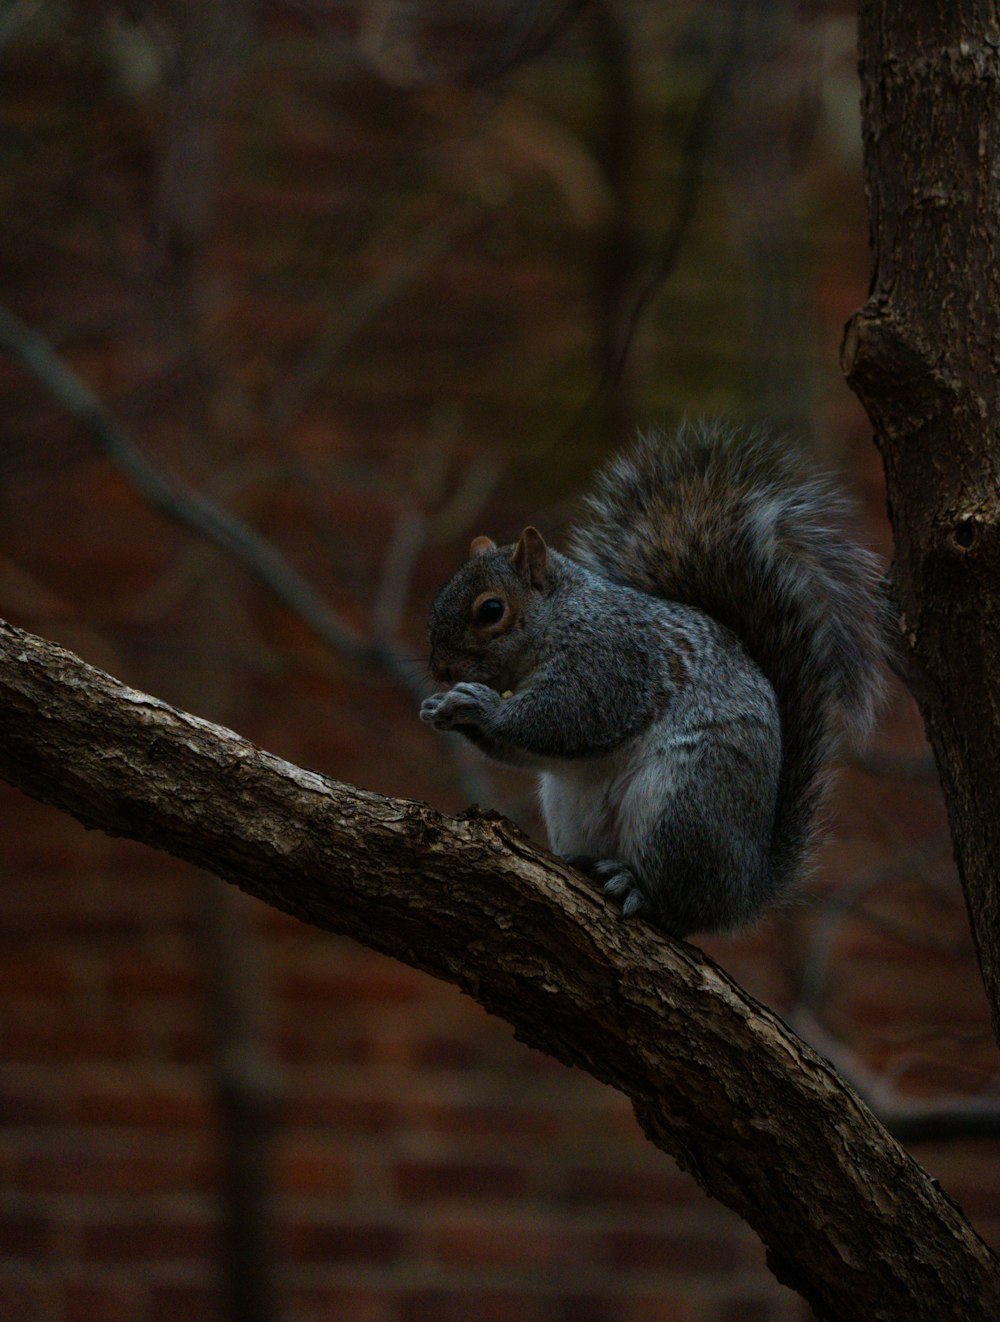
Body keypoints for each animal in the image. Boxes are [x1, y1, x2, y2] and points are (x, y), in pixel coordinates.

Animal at [417, 417, 888, 935]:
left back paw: (640, 890)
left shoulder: (612, 661)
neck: (561, 618)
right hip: (573, 808)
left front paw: (480, 705)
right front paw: (442, 709)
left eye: (491, 610)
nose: (439, 669)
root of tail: (746, 890)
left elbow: (566, 718)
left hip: (683, 804)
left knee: (684, 907)